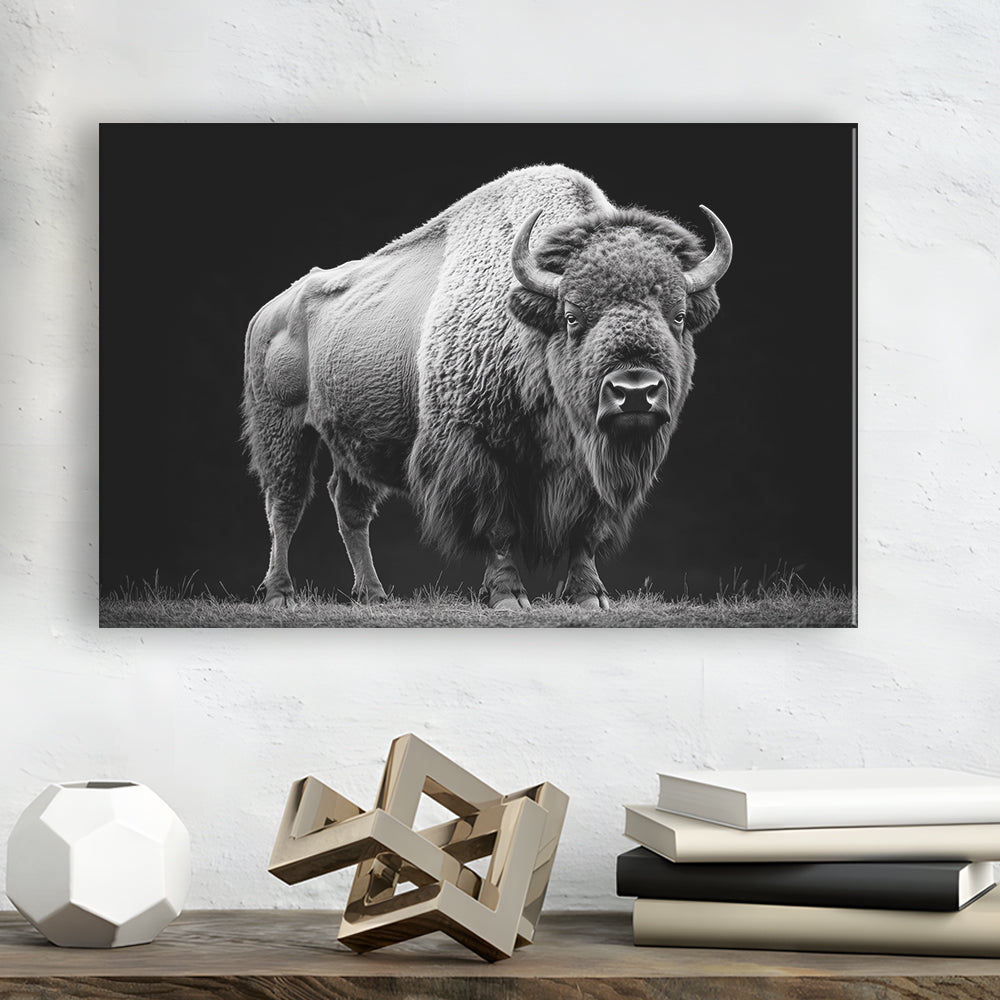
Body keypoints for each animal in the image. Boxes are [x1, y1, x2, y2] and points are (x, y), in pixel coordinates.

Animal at [241, 165, 731, 610]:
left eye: (679, 316)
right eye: (572, 316)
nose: (635, 391)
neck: (528, 328)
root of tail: (271, 309)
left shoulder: (591, 468)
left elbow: (586, 532)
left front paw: (589, 597)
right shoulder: (478, 452)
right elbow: (498, 527)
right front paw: (508, 597)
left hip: (354, 441)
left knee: (349, 506)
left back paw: (373, 595)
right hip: (282, 427)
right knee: (284, 504)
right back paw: (280, 595)